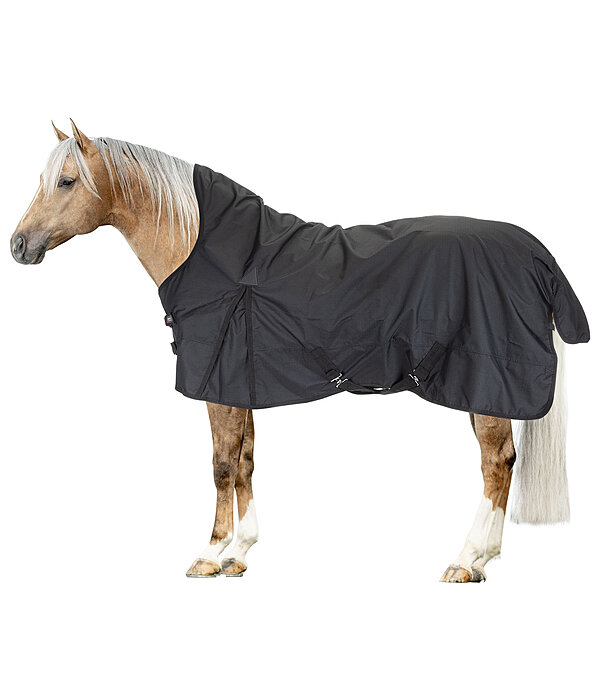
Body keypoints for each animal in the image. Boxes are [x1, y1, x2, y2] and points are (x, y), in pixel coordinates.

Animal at [10, 120, 580, 583]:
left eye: (66, 181)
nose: (18, 245)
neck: (212, 254)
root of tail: (536, 255)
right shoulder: (238, 382)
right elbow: (245, 461)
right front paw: (239, 553)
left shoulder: (216, 385)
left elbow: (220, 464)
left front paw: (209, 554)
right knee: (501, 463)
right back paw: (481, 560)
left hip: (485, 381)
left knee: (495, 463)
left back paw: (466, 559)